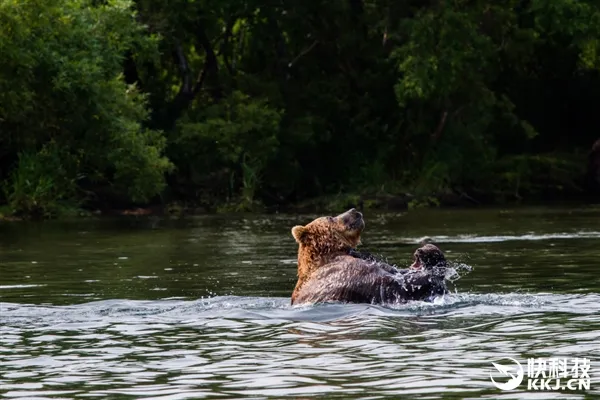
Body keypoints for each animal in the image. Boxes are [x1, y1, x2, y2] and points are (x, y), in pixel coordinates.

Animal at [288, 209, 448, 306]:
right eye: (330, 217)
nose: (354, 211)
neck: (333, 253)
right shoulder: (341, 274)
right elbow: (390, 285)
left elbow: (394, 270)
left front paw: (427, 253)